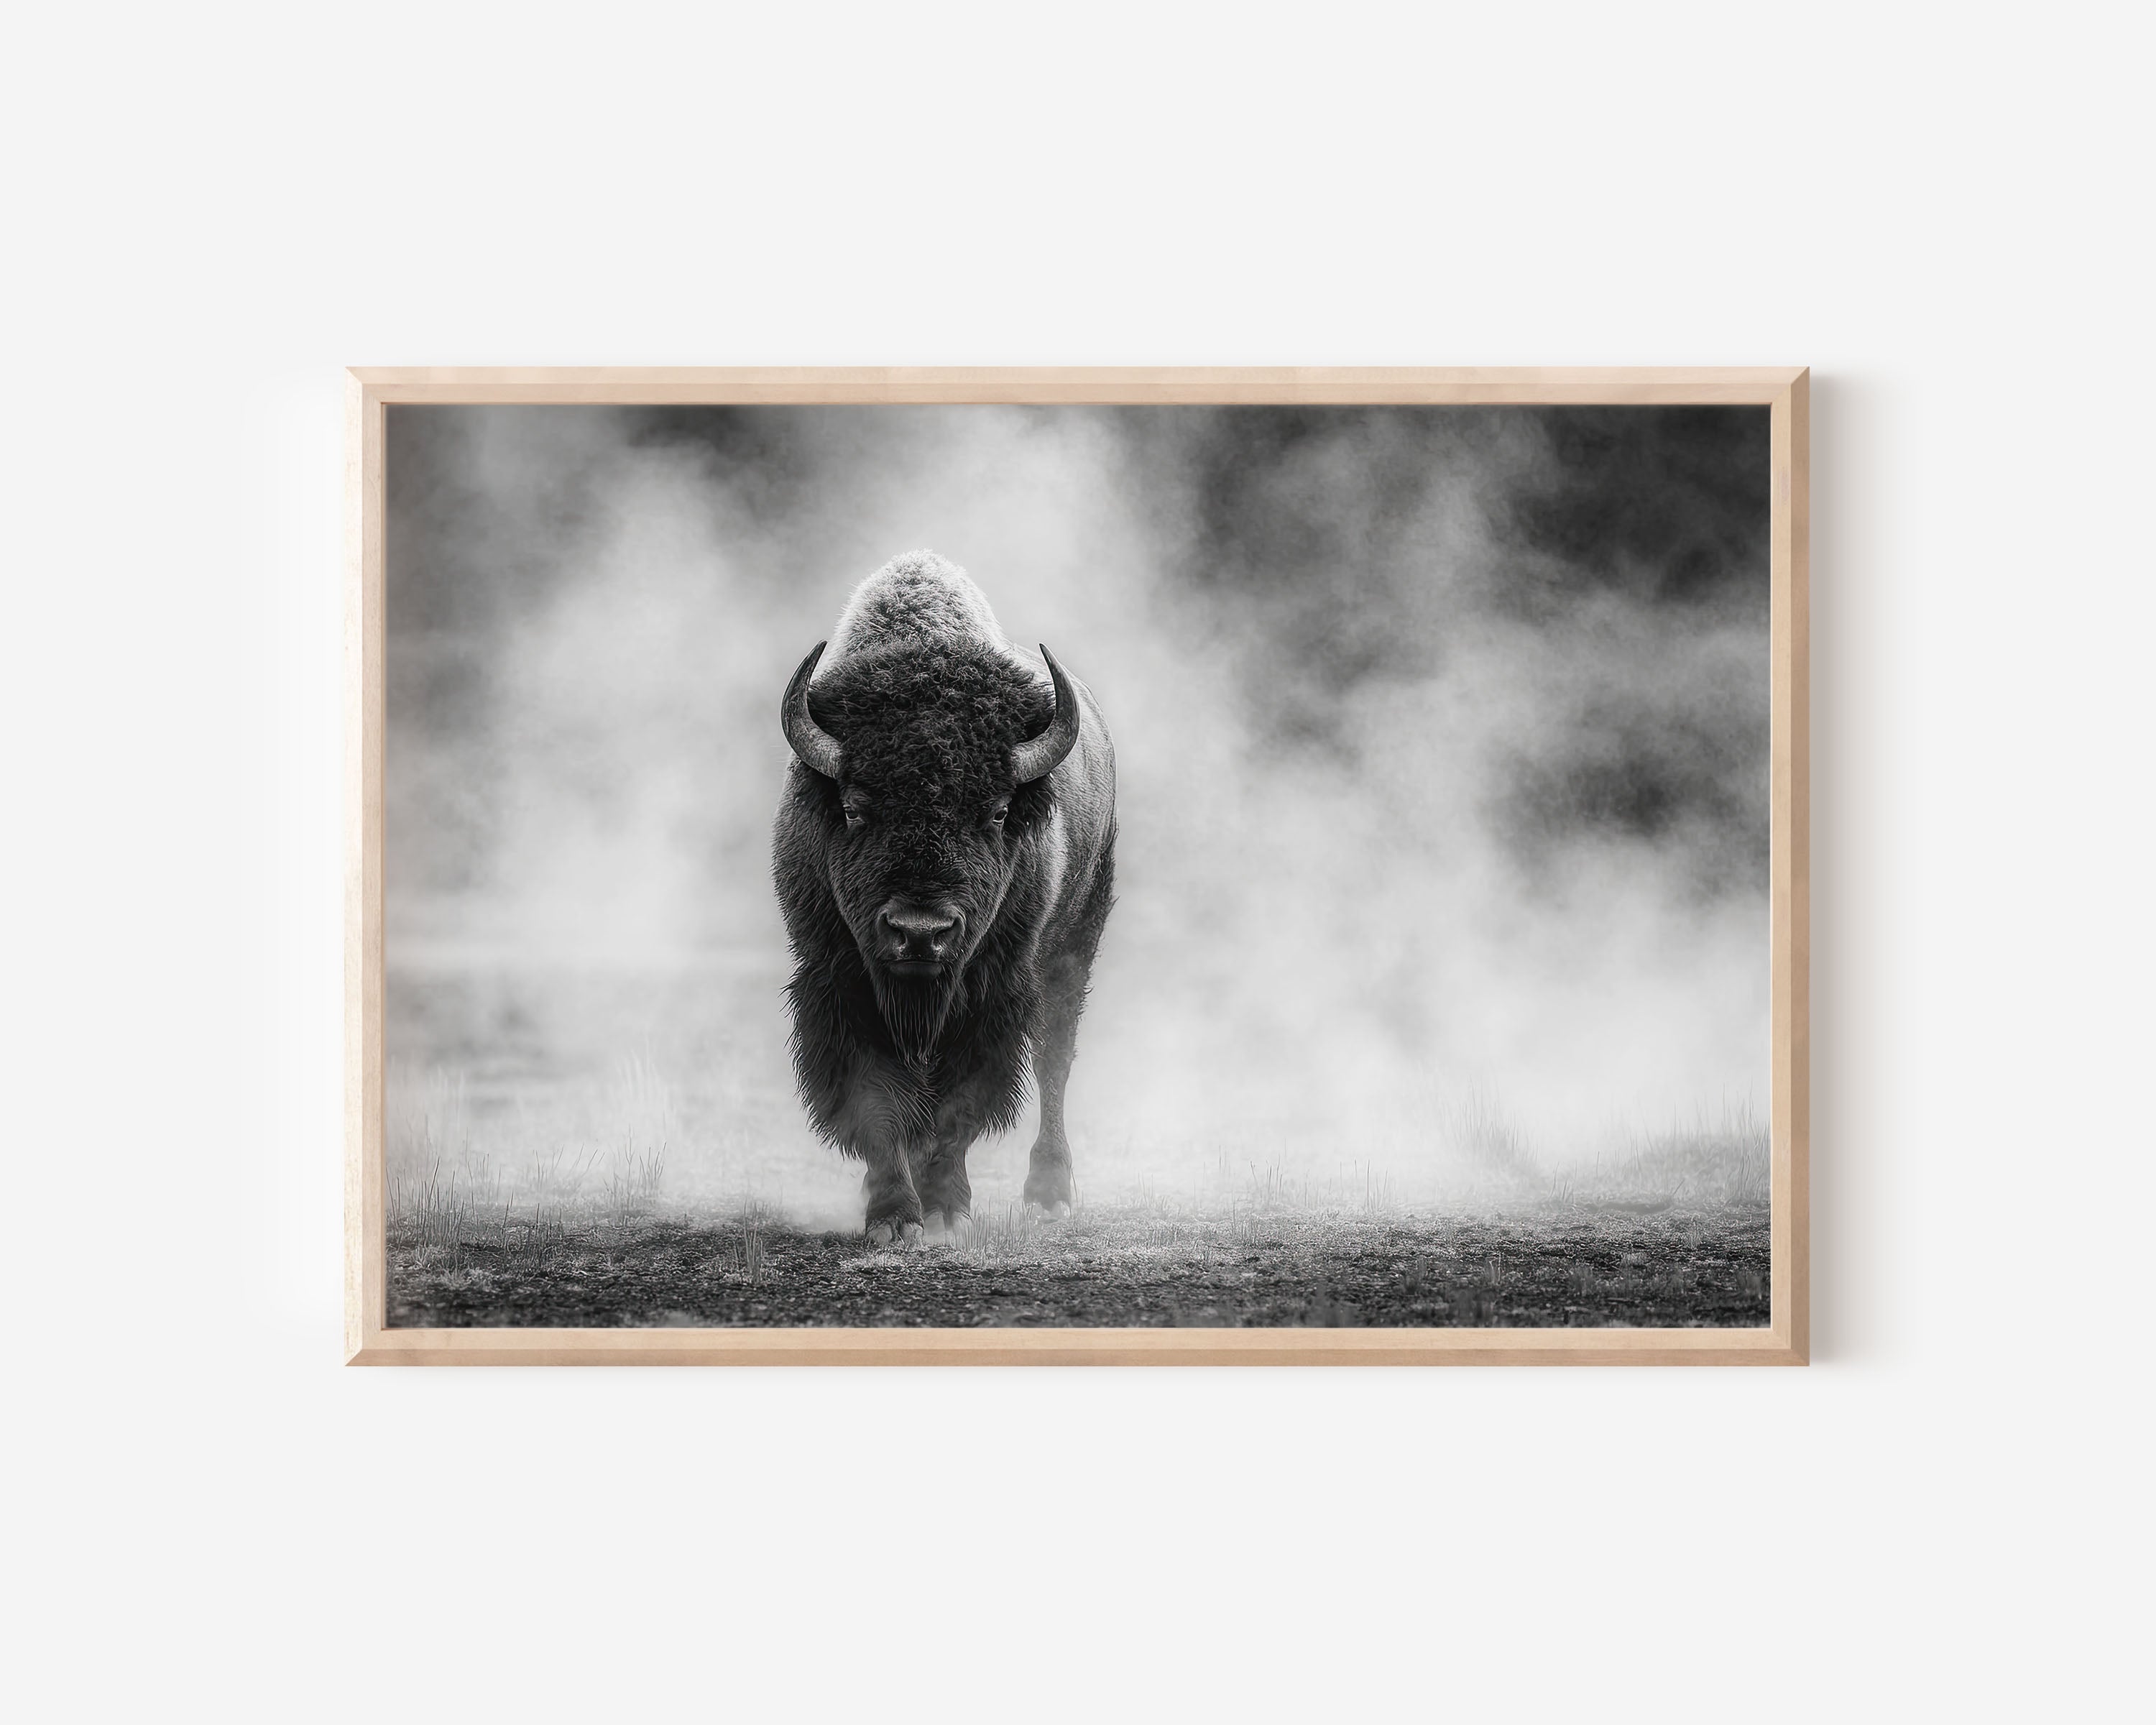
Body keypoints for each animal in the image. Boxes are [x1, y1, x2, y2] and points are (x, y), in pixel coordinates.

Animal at [772, 551, 1118, 1245]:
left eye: (998, 811)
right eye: (853, 809)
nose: (920, 932)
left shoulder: (992, 995)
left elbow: (963, 1104)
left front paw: (945, 1211)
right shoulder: (840, 984)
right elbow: (877, 1099)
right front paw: (892, 1218)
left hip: (1075, 943)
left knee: (1055, 1058)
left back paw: (1049, 1194)